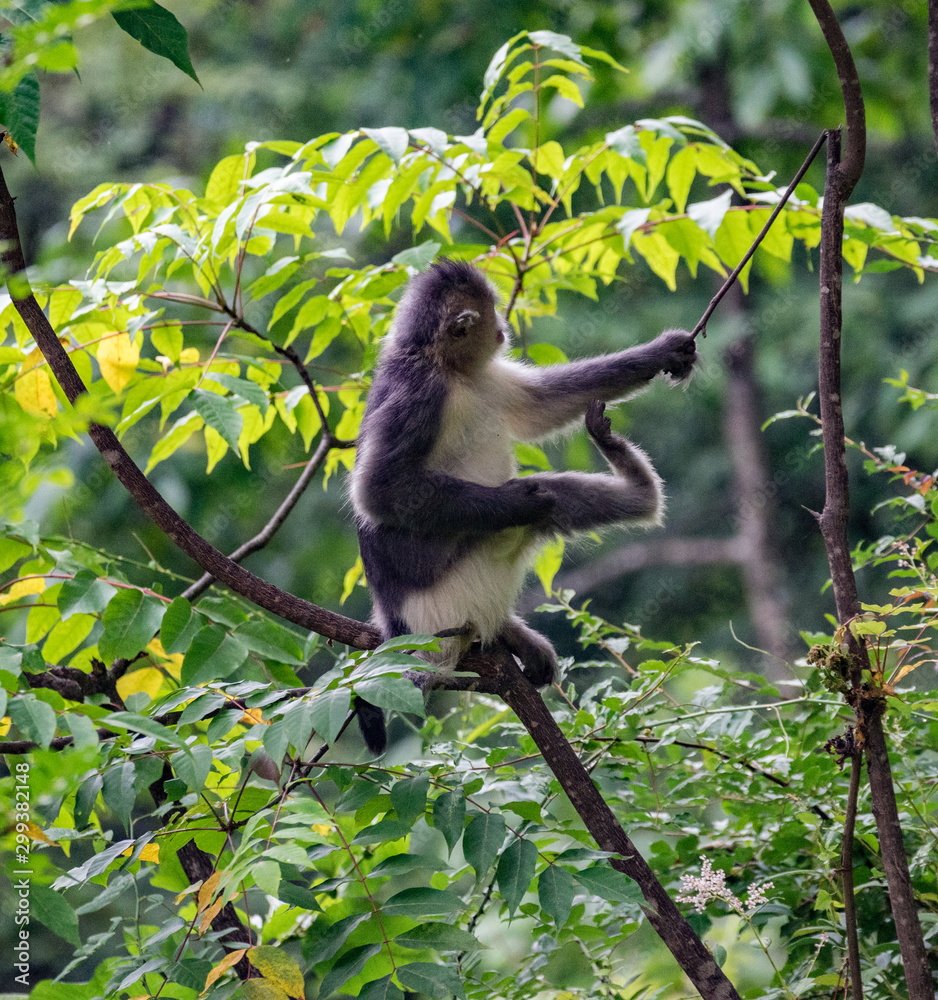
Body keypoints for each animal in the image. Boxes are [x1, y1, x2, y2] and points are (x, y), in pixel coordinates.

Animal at [349, 259, 697, 753]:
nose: (502, 330)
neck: (451, 371)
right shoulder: (420, 391)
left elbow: (544, 404)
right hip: (445, 594)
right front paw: (517, 500)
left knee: (562, 498)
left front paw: (664, 352)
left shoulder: (485, 378)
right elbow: (377, 490)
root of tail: (397, 621)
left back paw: (638, 490)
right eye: (492, 313)